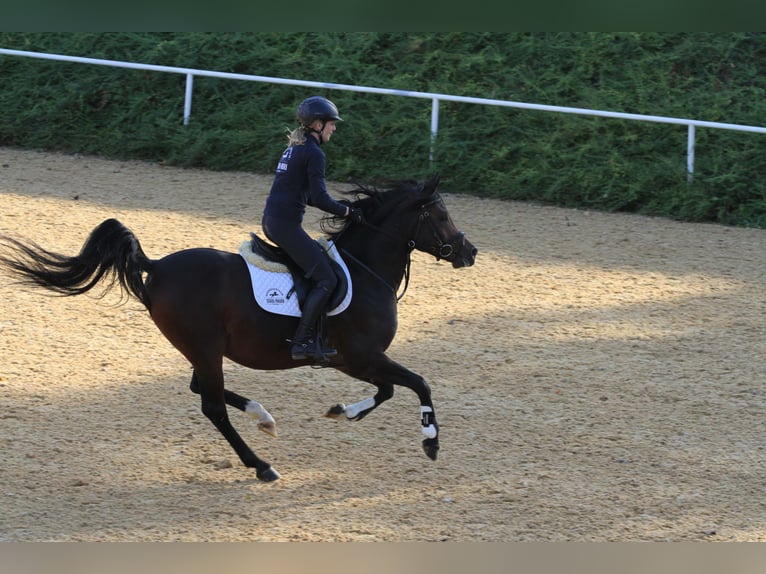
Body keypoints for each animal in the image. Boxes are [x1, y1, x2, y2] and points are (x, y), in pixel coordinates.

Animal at [0, 175, 477, 482]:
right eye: (441, 215)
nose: (469, 252)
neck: (364, 270)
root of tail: (158, 266)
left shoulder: (356, 361)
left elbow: (391, 389)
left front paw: (343, 411)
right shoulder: (360, 356)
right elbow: (417, 384)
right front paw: (430, 441)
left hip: (201, 349)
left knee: (201, 389)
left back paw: (263, 418)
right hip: (205, 347)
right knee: (211, 405)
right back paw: (262, 465)